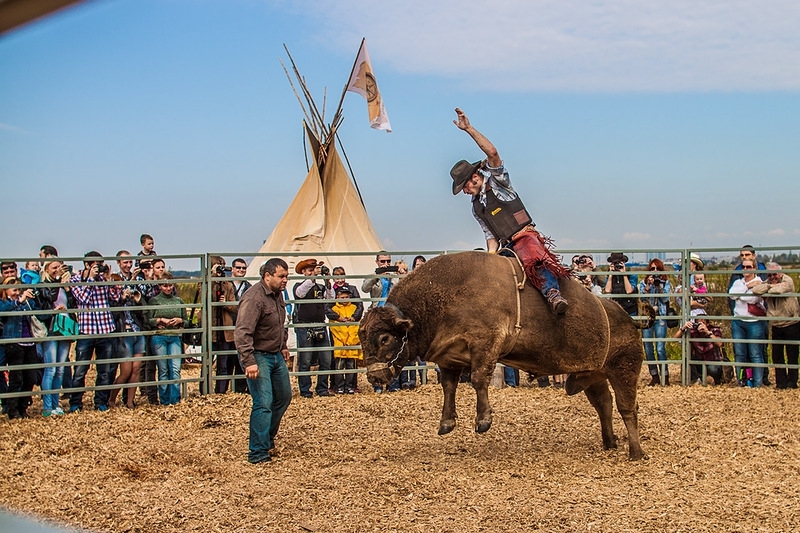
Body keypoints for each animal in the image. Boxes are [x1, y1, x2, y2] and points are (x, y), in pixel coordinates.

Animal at [360, 249, 652, 458]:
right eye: (362, 339)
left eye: (385, 338)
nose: (374, 377)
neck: (445, 295)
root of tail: (627, 318)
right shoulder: (449, 358)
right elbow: (449, 387)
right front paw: (447, 422)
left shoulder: (486, 343)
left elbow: (479, 379)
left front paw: (483, 420)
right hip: (594, 374)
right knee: (604, 404)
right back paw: (610, 441)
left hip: (625, 369)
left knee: (627, 408)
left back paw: (636, 452)